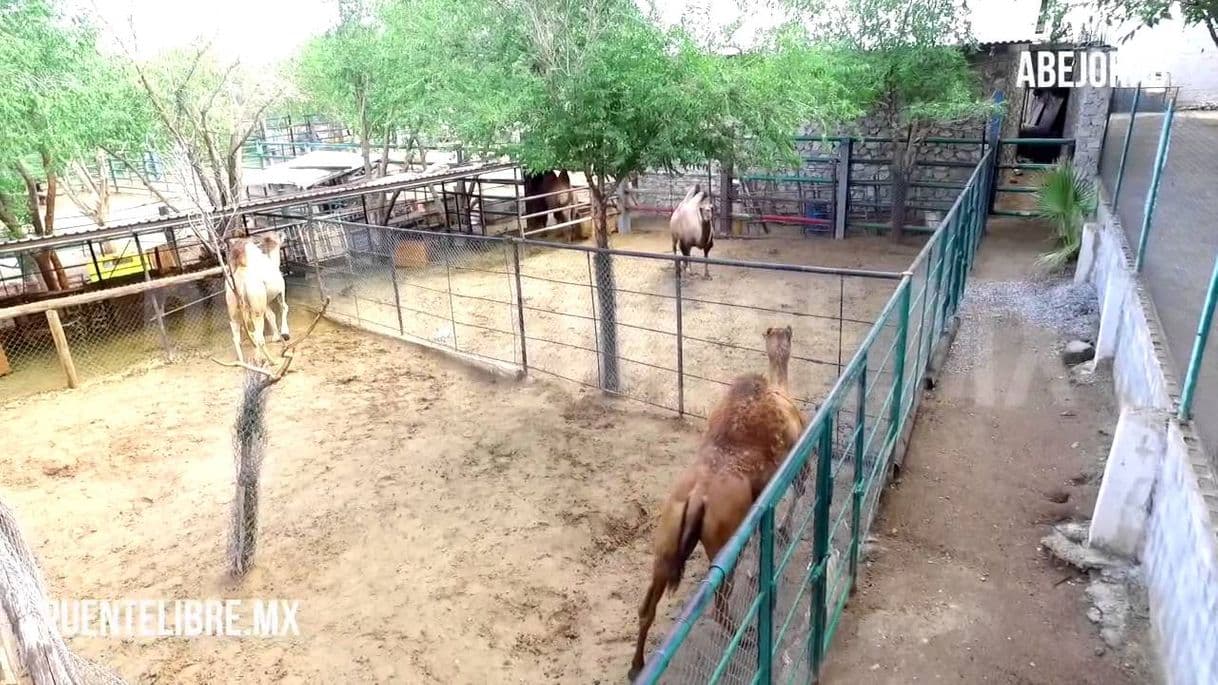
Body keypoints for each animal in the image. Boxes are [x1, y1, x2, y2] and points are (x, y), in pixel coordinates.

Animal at [628, 324, 808, 677]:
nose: (785, 329)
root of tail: (698, 497)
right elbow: (795, 494)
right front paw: (782, 535)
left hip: (667, 536)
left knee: (647, 605)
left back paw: (637, 666)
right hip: (723, 539)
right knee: (720, 602)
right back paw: (746, 637)